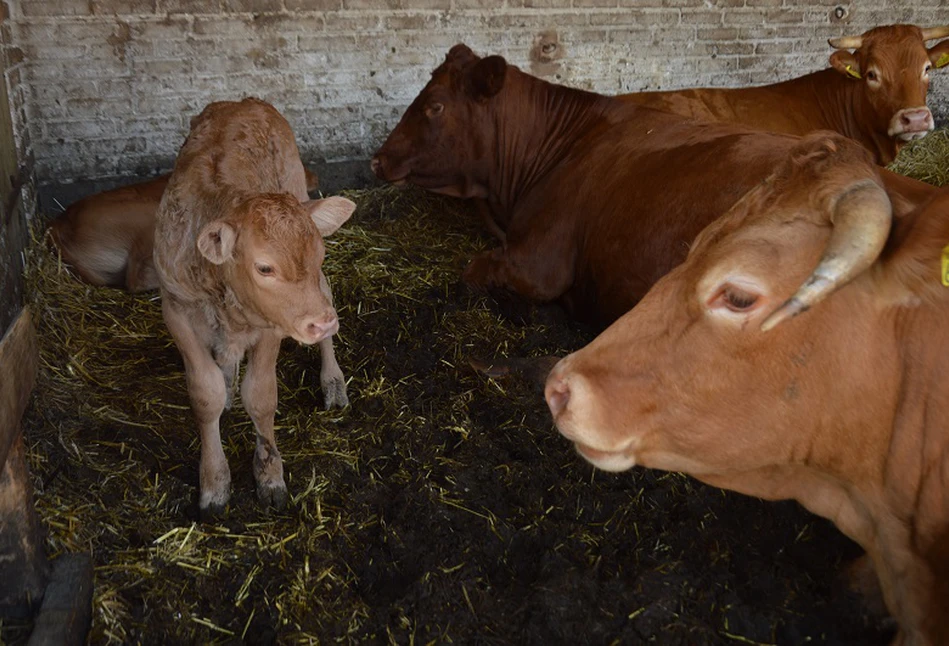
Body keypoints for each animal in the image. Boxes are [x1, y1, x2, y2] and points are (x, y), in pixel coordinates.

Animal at [156, 98, 356, 520]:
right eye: (264, 268)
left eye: (319, 251)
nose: (322, 324)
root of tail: (244, 101)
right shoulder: (176, 311)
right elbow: (205, 395)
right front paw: (214, 483)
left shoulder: (272, 326)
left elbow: (262, 397)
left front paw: (269, 475)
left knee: (327, 294)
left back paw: (333, 382)